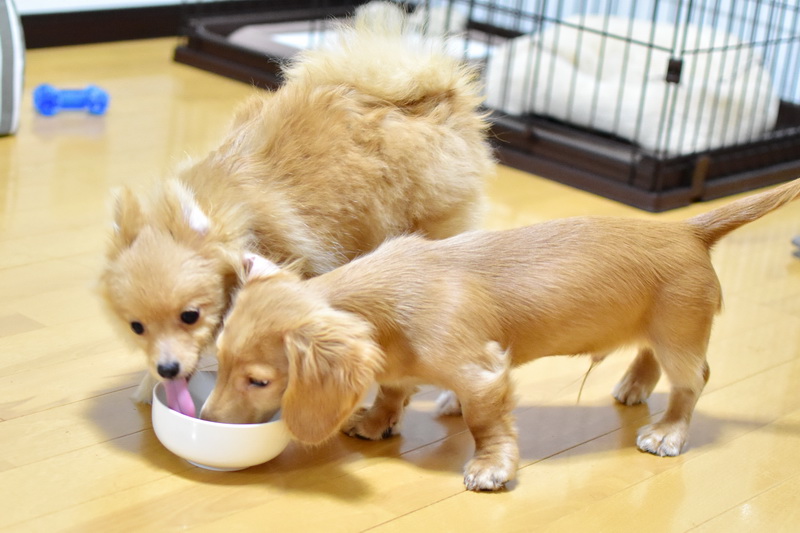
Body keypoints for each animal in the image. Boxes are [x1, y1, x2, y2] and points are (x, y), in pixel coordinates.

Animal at [202, 179, 800, 490]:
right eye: (219, 358)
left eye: (259, 381)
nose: (207, 420)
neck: (389, 296)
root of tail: (687, 229)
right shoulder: (396, 364)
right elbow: (393, 389)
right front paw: (375, 421)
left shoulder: (482, 374)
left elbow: (485, 421)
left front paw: (491, 466)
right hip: (658, 327)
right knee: (648, 357)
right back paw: (632, 388)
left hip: (680, 334)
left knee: (691, 382)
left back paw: (668, 432)